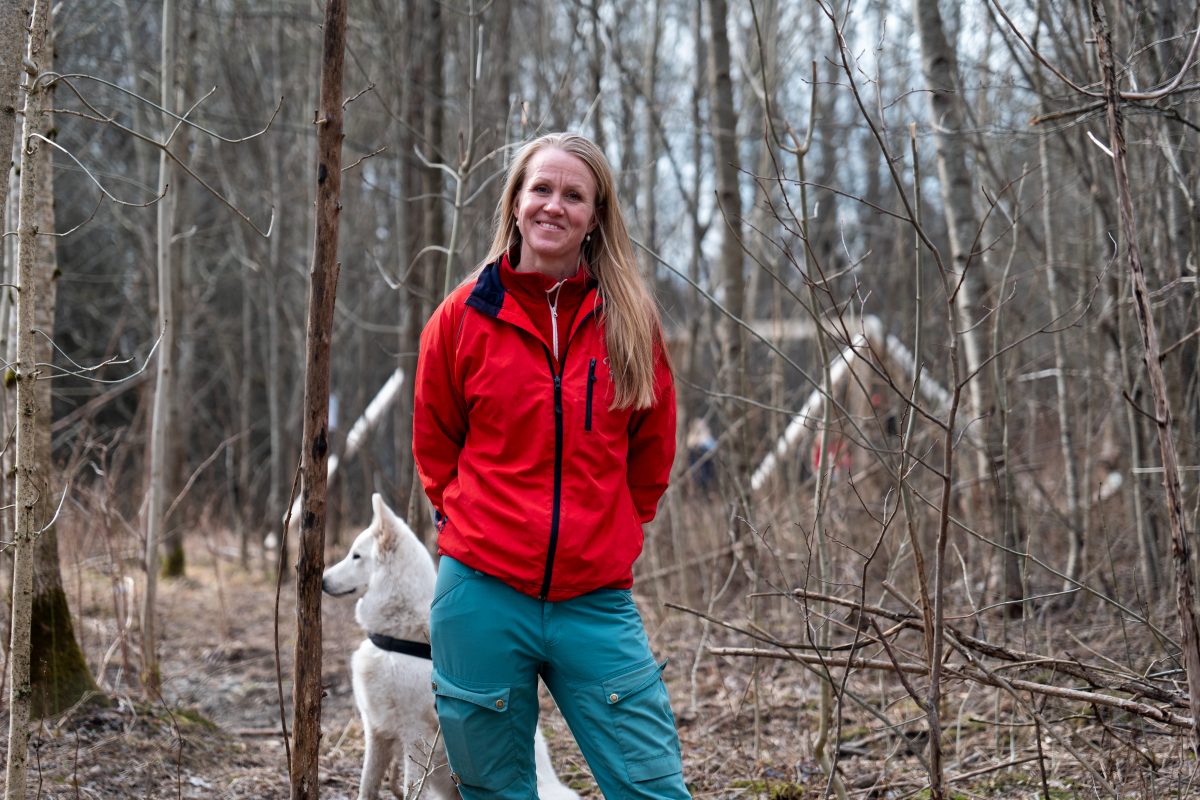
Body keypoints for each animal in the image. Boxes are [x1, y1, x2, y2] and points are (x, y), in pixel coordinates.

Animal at [321, 494, 578, 800]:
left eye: (356, 556)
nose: (322, 580)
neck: (396, 638)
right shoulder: (377, 731)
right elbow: (367, 786)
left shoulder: (415, 734)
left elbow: (411, 788)